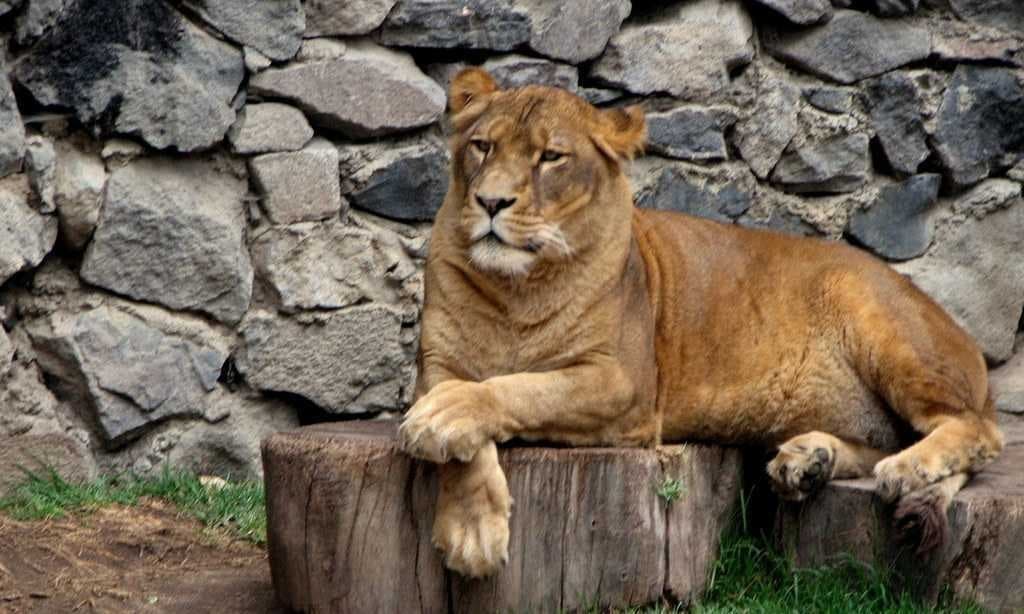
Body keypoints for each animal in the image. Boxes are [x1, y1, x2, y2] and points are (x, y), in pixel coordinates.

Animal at [398, 68, 1005, 579]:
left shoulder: (625, 386)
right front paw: (472, 532)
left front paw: (443, 424)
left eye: (551, 157)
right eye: (483, 146)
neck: (515, 290)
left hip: (879, 321)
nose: (490, 201)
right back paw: (809, 461)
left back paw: (906, 468)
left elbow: (518, 389)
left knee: (978, 431)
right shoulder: (436, 366)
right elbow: (468, 437)